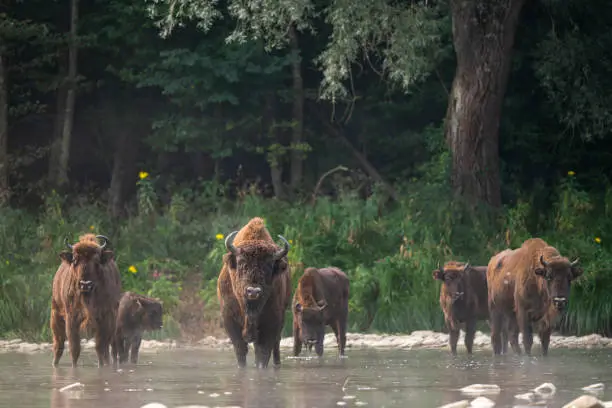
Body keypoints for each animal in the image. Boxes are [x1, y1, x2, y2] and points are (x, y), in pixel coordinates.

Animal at [51, 234, 122, 368]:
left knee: (110, 347)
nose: (85, 284)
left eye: (97, 261)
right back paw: (55, 363)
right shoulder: (71, 318)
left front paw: (102, 366)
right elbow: (75, 348)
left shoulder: (105, 318)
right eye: (75, 260)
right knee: (59, 344)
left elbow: (100, 347)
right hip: (55, 314)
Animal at [215, 217, 292, 370]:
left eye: (269, 265)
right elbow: (240, 350)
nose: (253, 291)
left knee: (276, 344)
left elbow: (263, 353)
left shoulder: (272, 321)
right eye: (241, 263)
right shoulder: (229, 320)